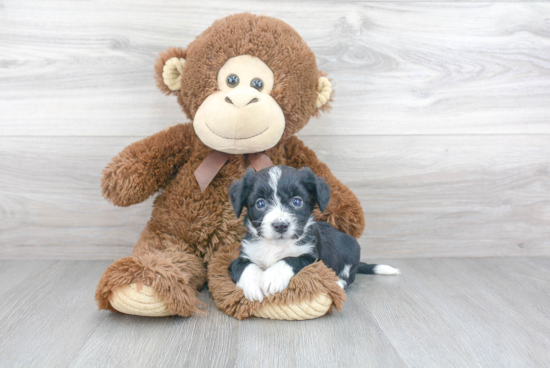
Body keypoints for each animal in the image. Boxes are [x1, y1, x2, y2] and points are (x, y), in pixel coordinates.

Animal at [229, 166, 402, 302]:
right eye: (260, 203)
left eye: (297, 201)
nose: (280, 225)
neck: (276, 246)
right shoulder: (243, 255)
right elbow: (243, 265)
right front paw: (254, 283)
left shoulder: (313, 259)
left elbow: (292, 259)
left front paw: (273, 276)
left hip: (352, 251)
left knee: (347, 278)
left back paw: (336, 283)